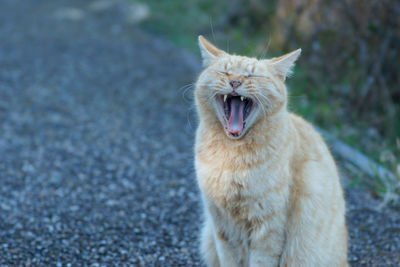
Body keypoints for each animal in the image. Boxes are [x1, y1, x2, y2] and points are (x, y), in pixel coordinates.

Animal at [194, 36, 346, 267]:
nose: (235, 82)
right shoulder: (221, 226)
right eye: (225, 72)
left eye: (252, 75)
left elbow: (261, 261)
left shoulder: (268, 228)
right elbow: (229, 259)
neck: (232, 155)